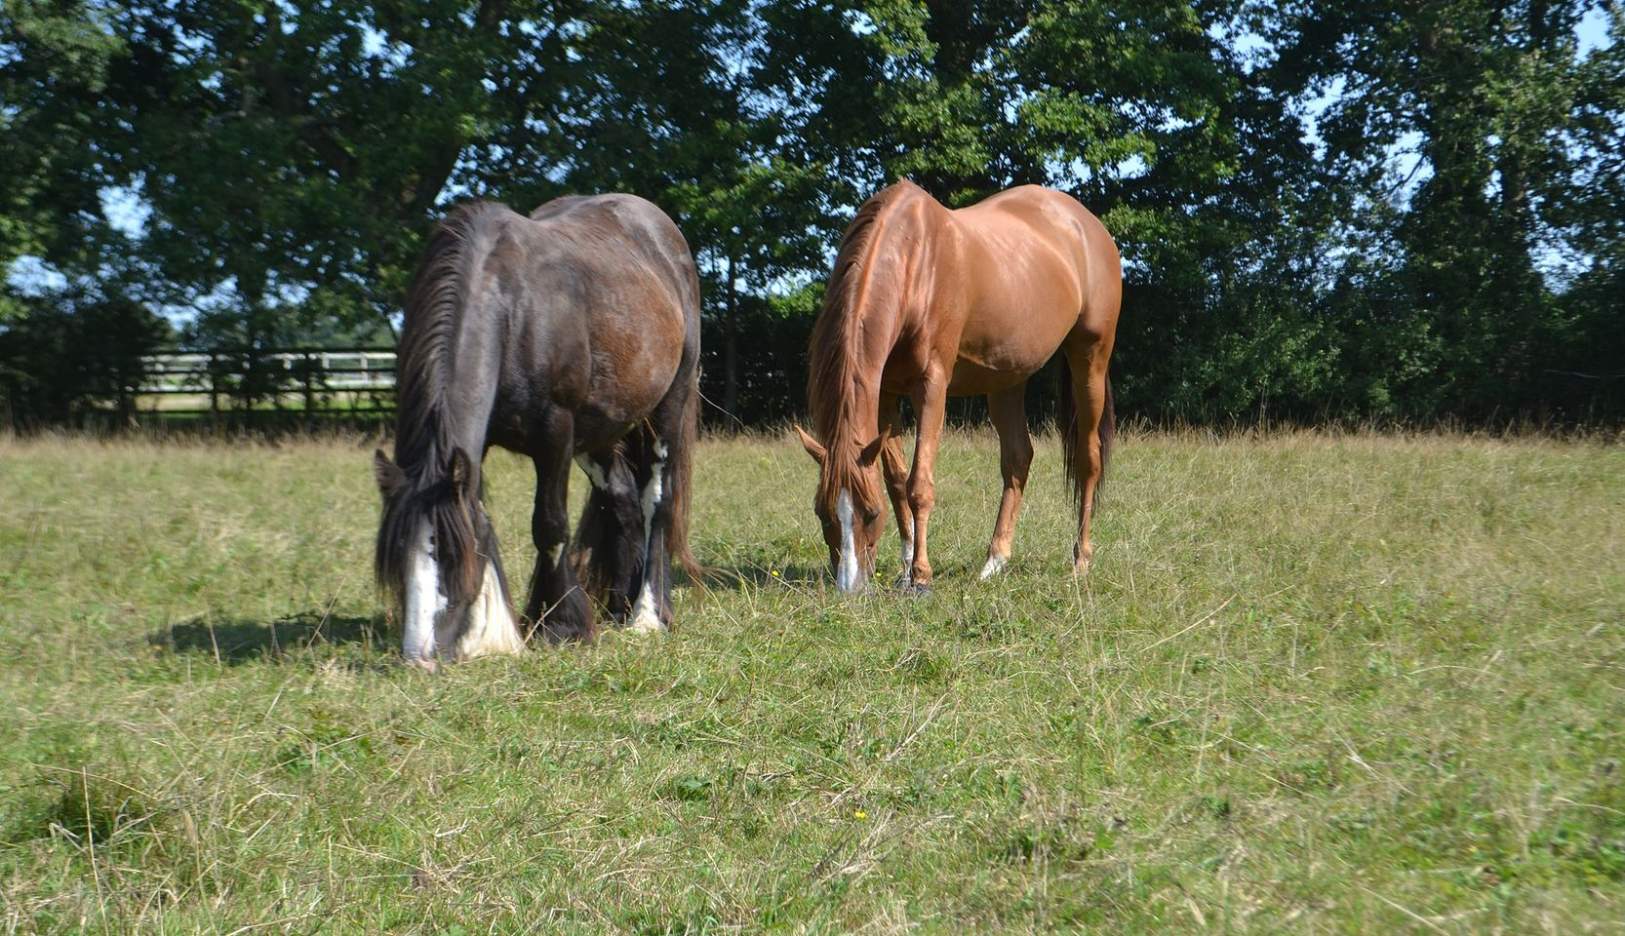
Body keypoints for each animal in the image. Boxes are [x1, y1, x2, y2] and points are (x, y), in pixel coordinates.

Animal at [372, 195, 701, 668]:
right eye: (398, 557)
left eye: (449, 554)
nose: (420, 658)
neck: (514, 309)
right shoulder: (477, 447)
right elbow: (480, 514)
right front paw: (489, 630)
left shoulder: (555, 435)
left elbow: (549, 526)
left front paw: (559, 625)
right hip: (600, 428)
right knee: (622, 500)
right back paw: (618, 605)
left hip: (667, 407)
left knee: (656, 500)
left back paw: (648, 614)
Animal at [794, 180, 1120, 593]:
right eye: (822, 512)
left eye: (869, 513)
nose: (849, 588)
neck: (915, 263)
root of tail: (1088, 225)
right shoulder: (886, 393)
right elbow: (896, 480)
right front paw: (905, 567)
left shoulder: (931, 385)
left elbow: (919, 483)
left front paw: (921, 576)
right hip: (1007, 378)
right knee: (1018, 458)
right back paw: (994, 561)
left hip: (1090, 358)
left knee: (1088, 459)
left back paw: (1080, 561)